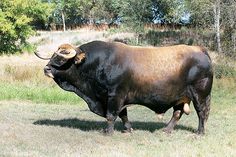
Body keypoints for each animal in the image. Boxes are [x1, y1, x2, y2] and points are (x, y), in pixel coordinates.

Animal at [35, 40, 214, 135]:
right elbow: (123, 115)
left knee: (202, 113)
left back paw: (200, 132)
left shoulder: (115, 95)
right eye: (53, 56)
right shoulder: (115, 97)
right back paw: (166, 130)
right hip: (180, 97)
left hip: (200, 95)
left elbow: (111, 115)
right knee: (177, 113)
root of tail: (199, 49)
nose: (46, 69)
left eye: (61, 59)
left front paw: (108, 132)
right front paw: (128, 129)